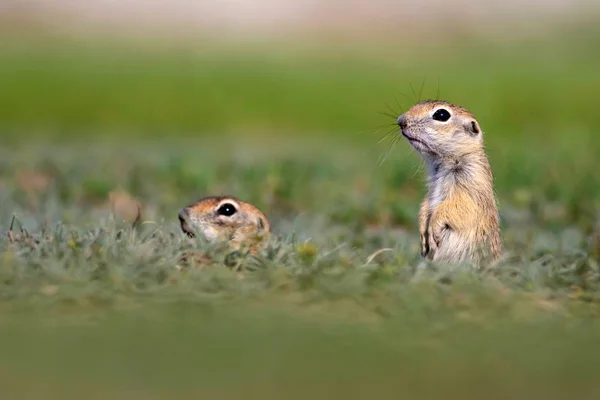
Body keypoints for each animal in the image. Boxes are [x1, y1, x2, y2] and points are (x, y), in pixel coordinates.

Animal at [398, 100, 502, 268]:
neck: (443, 163)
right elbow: (425, 204)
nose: (400, 120)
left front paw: (433, 226)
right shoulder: (432, 188)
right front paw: (423, 232)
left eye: (441, 114)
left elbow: (460, 207)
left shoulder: (472, 184)